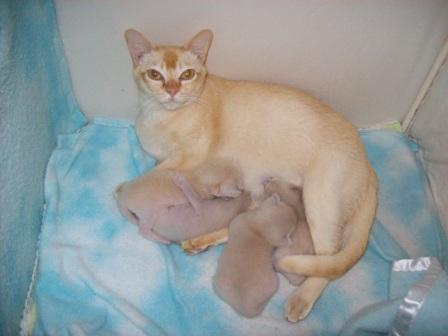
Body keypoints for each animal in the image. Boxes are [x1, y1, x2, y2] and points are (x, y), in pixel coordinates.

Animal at [123, 29, 378, 322]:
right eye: (155, 75)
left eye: (187, 74)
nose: (172, 90)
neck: (160, 118)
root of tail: (369, 166)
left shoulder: (188, 157)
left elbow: (152, 175)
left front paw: (124, 191)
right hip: (263, 191)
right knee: (244, 223)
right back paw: (199, 241)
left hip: (319, 199)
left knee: (329, 259)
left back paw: (300, 299)